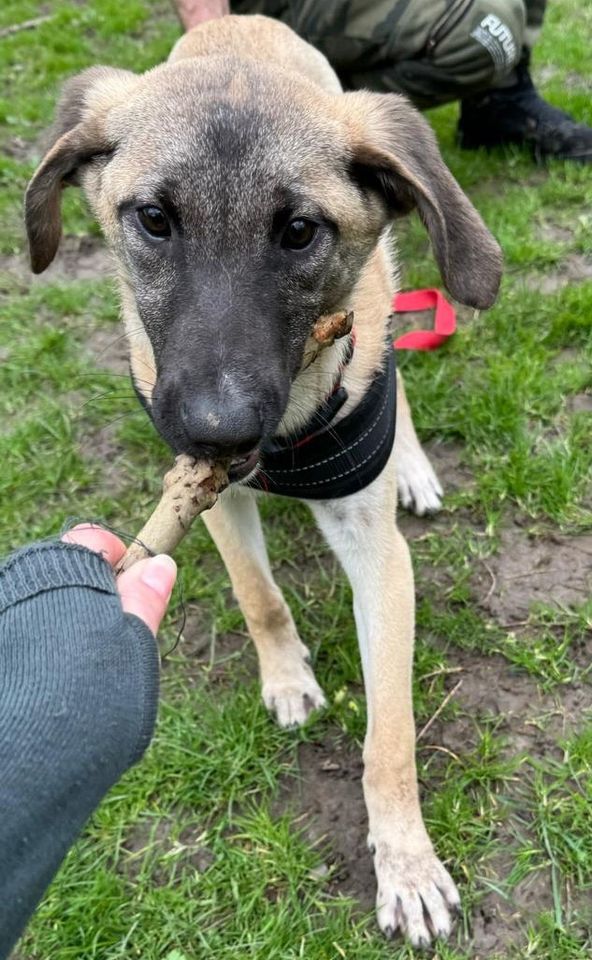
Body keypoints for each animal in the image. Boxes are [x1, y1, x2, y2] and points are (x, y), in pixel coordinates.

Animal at [26, 15, 500, 944]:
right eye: (153, 218)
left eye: (301, 231)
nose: (217, 427)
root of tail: (231, 22)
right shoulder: (213, 498)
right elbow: (258, 594)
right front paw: (285, 678)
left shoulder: (377, 555)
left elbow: (390, 737)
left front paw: (406, 864)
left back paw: (412, 465)